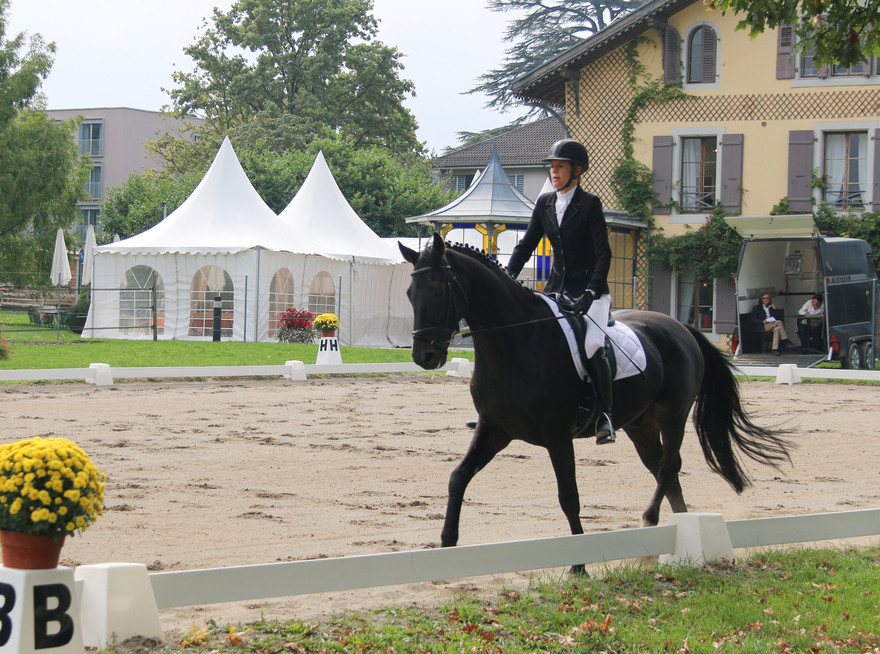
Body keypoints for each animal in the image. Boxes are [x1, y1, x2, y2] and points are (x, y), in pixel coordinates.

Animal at [399, 234, 791, 573]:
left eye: (438, 289)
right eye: (409, 292)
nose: (425, 356)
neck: (516, 342)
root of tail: (682, 328)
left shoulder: (557, 436)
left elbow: (568, 495)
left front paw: (579, 564)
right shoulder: (494, 429)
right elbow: (458, 477)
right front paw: (447, 547)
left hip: (673, 416)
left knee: (669, 467)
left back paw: (649, 527)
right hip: (641, 427)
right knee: (666, 472)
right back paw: (673, 537)